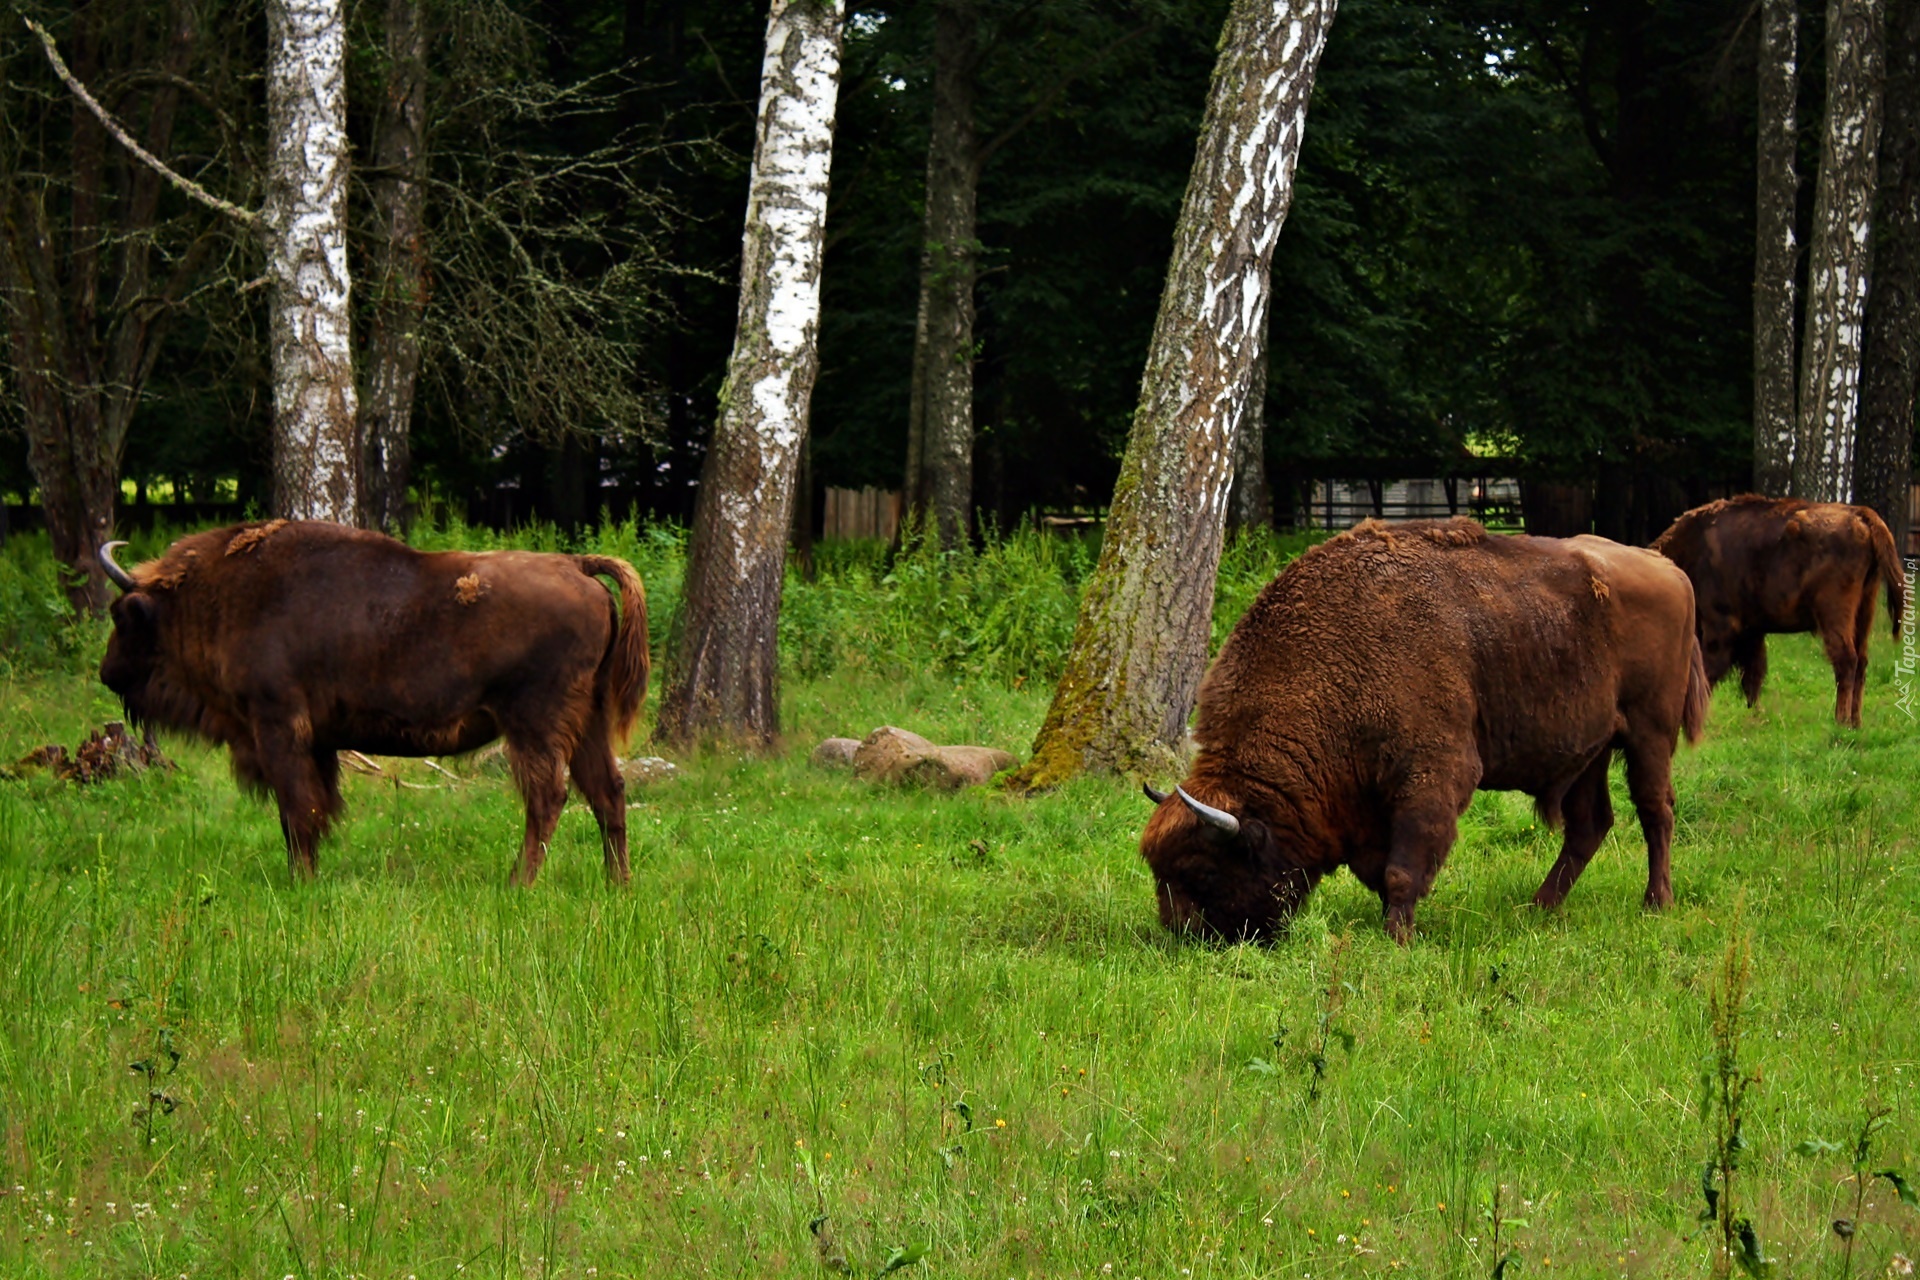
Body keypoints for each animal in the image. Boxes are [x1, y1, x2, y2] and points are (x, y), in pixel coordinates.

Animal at [95, 514, 652, 886]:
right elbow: (314, 808)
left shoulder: (277, 728)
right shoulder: (316, 743)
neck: (223, 594)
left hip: (534, 724)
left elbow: (296, 809)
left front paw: (299, 880)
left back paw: (518, 883)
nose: (106, 672)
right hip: (588, 721)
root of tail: (578, 566)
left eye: (122, 616)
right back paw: (617, 885)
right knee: (608, 792)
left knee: (549, 797)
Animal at [1136, 514, 1712, 948]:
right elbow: (1382, 870)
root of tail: (1670, 570)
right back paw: (1538, 908)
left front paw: (1398, 937)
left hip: (1648, 734)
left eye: (1204, 871)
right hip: (1586, 753)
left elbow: (1402, 867)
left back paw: (1656, 903)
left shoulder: (1433, 775)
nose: (1181, 936)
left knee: (1656, 811)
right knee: (1590, 825)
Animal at [1651, 495, 1904, 725]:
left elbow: (1712, 669)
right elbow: (1753, 674)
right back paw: (1855, 722)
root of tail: (1860, 514)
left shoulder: (1721, 624)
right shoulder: (1751, 630)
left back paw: (1840, 720)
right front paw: (1755, 713)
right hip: (1865, 608)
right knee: (1861, 661)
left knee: (1846, 660)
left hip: (1834, 612)